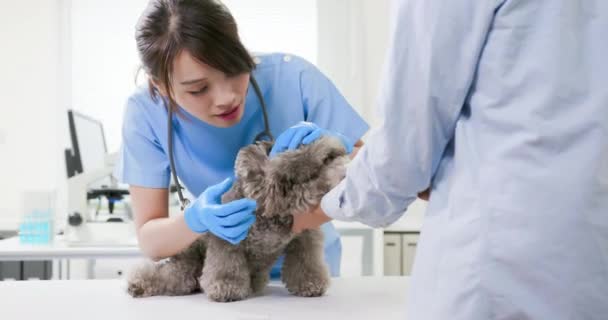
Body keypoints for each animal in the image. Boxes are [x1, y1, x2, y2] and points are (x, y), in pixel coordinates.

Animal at [126, 136, 350, 302]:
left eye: (332, 155)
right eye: (323, 163)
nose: (347, 172)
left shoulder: (304, 238)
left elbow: (306, 263)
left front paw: (310, 284)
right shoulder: (226, 240)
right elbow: (227, 267)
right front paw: (227, 288)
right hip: (185, 267)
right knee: (165, 275)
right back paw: (137, 284)